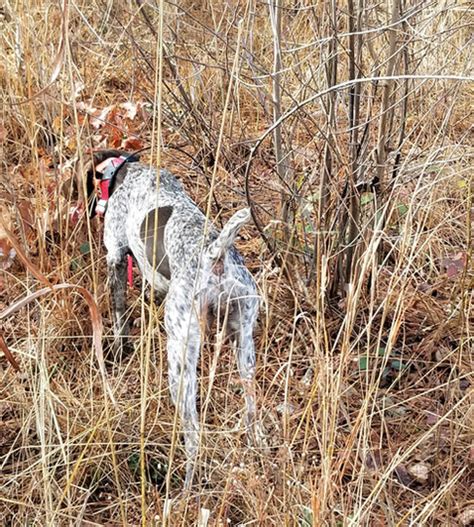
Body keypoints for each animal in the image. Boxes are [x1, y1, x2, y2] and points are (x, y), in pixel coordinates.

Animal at [86, 151, 262, 488]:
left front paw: (117, 352)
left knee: (194, 435)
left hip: (180, 362)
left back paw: (184, 487)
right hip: (244, 345)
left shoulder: (116, 258)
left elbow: (118, 318)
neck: (128, 172)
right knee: (251, 410)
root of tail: (215, 256)